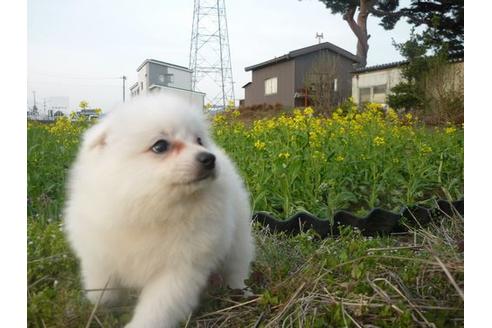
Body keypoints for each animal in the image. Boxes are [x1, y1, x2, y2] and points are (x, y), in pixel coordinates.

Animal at [64, 93, 256, 326]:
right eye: (160, 146)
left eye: (199, 140)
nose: (209, 158)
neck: (151, 208)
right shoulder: (99, 252)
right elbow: (101, 284)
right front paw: (101, 304)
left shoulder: (178, 269)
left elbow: (158, 308)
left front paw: (139, 324)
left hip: (238, 237)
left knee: (237, 264)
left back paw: (240, 290)